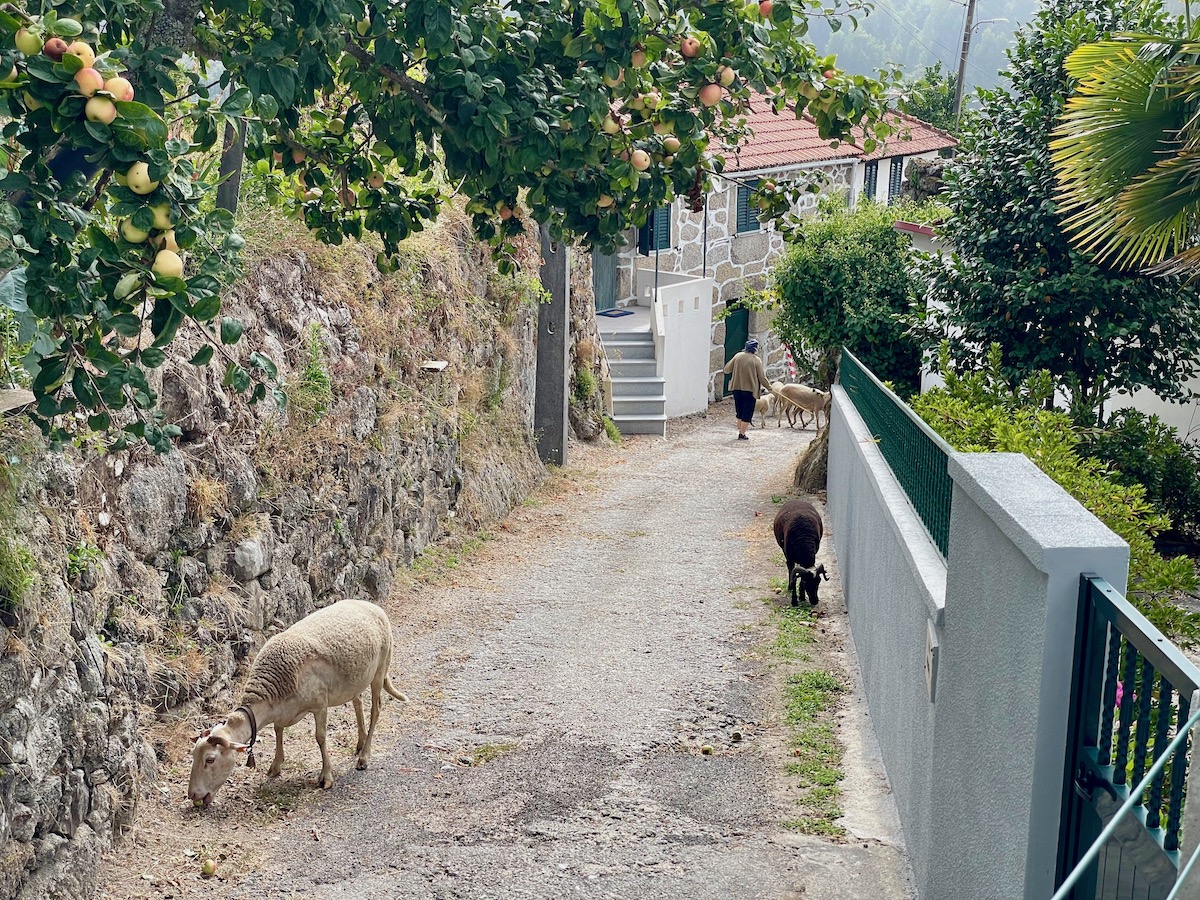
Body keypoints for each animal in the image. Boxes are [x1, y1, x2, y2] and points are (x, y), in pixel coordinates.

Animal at [186, 600, 408, 811]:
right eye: (194, 756)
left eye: (210, 760)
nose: (192, 795)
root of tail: (372, 606)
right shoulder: (283, 711)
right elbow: (278, 730)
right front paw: (275, 766)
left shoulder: (320, 704)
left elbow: (320, 738)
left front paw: (326, 777)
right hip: (356, 678)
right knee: (357, 702)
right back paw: (360, 743)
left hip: (380, 668)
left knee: (375, 710)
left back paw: (364, 757)